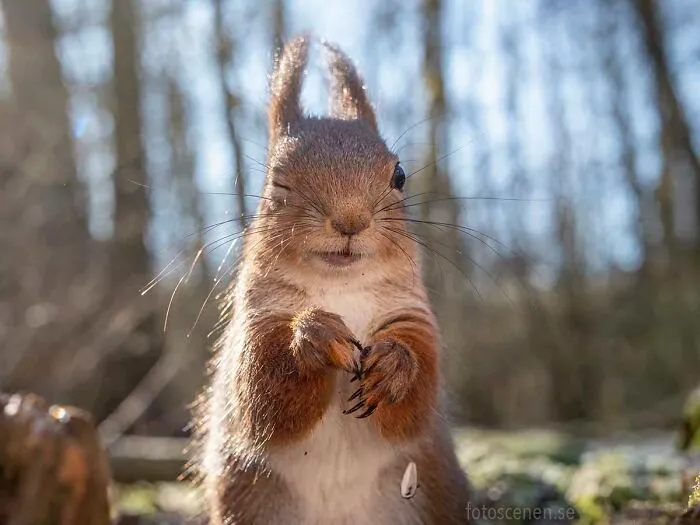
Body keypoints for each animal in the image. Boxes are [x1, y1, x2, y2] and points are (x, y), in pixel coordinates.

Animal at [196, 36, 470, 525]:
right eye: (276, 180)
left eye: (400, 176)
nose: (349, 221)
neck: (340, 288)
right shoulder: (256, 322)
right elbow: (261, 394)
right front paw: (315, 336)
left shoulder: (414, 317)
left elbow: (417, 397)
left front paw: (394, 365)